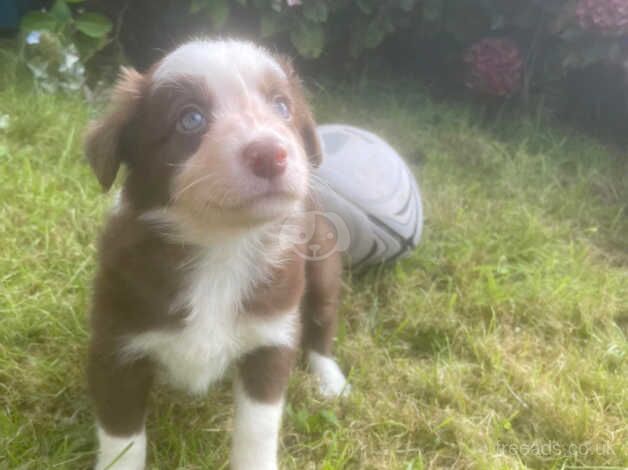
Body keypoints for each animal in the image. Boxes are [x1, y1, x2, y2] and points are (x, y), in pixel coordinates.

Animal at [84, 40, 348, 470]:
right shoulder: (116, 346)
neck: (221, 246)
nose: (271, 153)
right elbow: (122, 440)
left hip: (323, 266)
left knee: (321, 323)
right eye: (190, 119)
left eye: (282, 107)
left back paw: (331, 378)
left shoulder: (271, 339)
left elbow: (258, 428)